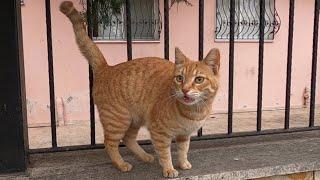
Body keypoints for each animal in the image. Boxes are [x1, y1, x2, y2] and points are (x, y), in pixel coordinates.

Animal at [60, 1, 220, 178]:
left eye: (199, 79)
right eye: (180, 78)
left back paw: (144, 156)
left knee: (128, 139)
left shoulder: (184, 135)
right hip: (118, 120)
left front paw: (183, 163)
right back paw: (121, 164)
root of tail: (107, 68)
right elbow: (165, 153)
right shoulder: (159, 133)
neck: (193, 112)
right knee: (109, 143)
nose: (184, 90)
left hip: (134, 119)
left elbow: (183, 150)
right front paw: (169, 169)